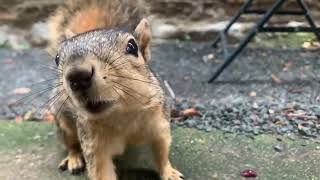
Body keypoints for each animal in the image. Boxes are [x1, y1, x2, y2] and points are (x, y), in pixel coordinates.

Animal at [46, 0, 184, 180]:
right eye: (57, 58)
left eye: (132, 47)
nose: (77, 76)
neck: (122, 114)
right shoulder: (94, 145)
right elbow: (100, 171)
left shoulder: (160, 124)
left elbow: (162, 151)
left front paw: (169, 172)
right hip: (64, 122)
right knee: (71, 144)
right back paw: (74, 159)